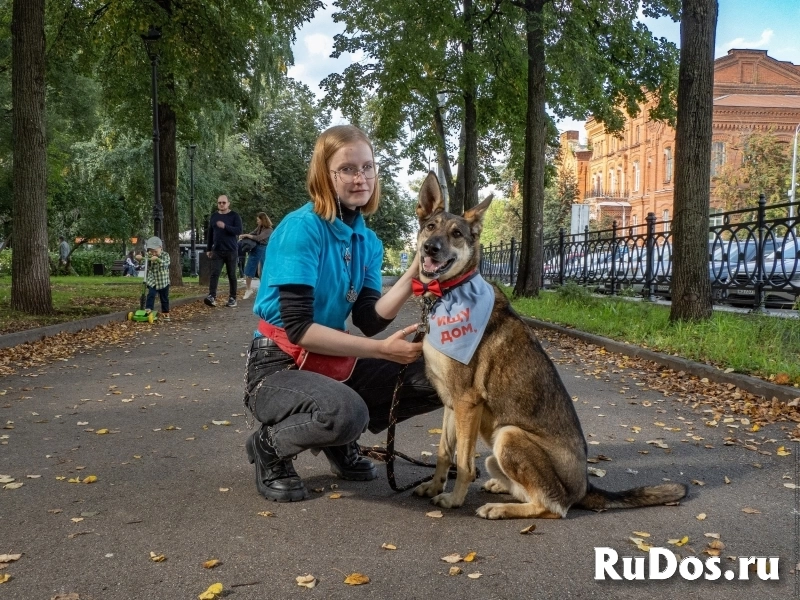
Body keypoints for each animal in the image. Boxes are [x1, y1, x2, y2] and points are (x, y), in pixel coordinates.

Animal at [412, 171, 688, 516]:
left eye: (457, 234)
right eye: (430, 227)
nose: (431, 249)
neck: (447, 295)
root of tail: (585, 487)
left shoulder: (466, 403)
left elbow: (463, 462)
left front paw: (454, 499)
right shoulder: (451, 404)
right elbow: (443, 453)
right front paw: (434, 487)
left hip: (508, 435)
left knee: (552, 506)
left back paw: (500, 509)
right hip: (497, 451)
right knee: (531, 493)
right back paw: (499, 488)